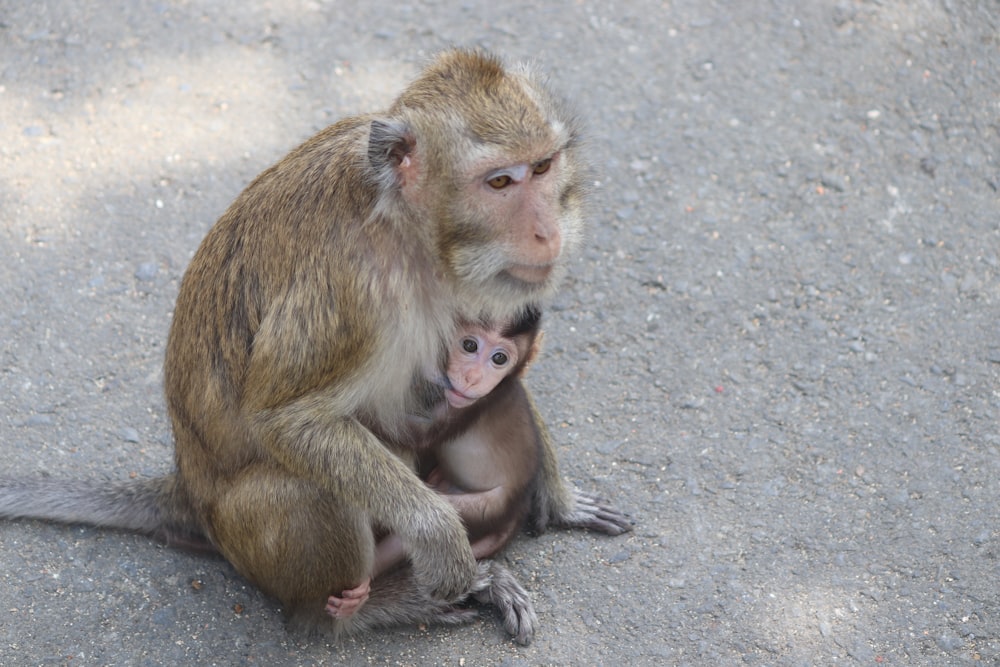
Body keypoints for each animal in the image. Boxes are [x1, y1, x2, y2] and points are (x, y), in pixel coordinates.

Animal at [328, 308, 544, 620]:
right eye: (469, 345)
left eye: (499, 359)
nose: (472, 377)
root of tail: (519, 508)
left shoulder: (472, 406)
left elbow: (415, 435)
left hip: (490, 506)